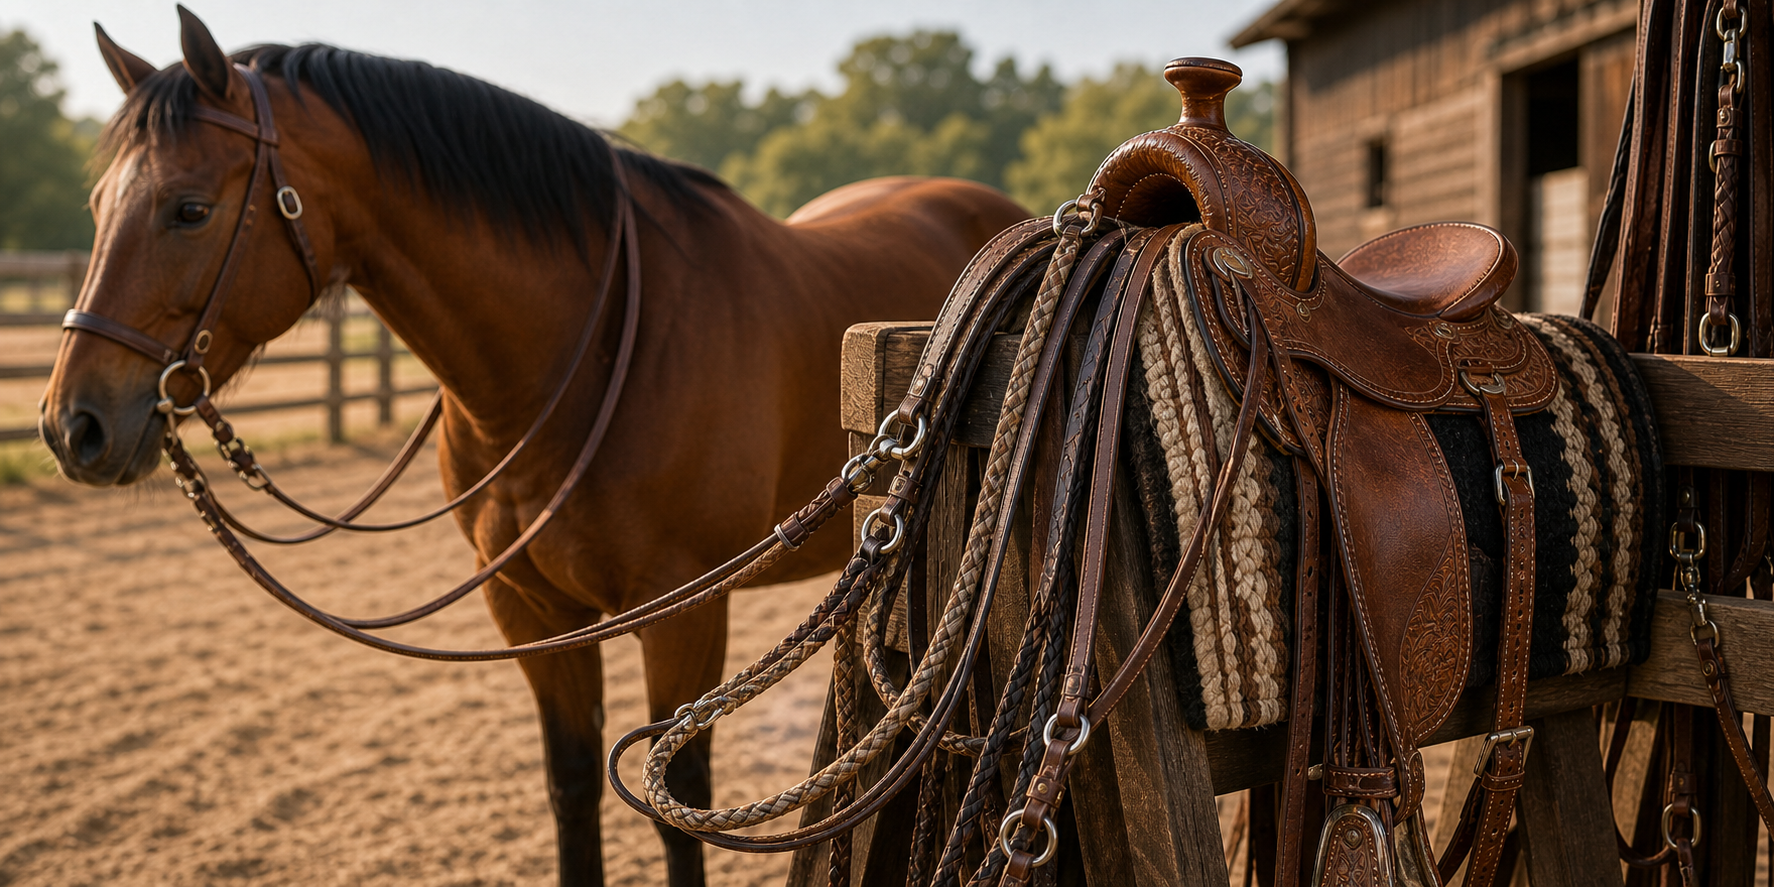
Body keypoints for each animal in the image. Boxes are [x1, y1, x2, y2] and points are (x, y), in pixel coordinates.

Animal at [39, 10, 1028, 886]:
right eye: (96, 205)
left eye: (189, 209)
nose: (70, 423)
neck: (584, 359)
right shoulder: (529, 611)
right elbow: (571, 790)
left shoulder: (683, 610)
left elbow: (677, 803)